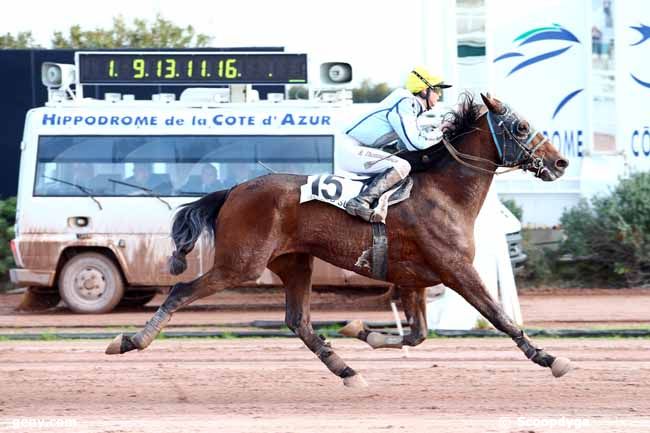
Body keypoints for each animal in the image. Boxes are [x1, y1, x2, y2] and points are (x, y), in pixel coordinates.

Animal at [105, 93, 568, 386]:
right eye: (520, 127)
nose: (561, 162)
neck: (444, 193)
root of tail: (233, 190)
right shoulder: (456, 269)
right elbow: (500, 316)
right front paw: (549, 358)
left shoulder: (413, 278)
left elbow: (417, 334)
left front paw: (361, 329)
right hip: (241, 264)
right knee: (181, 290)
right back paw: (129, 340)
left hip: (294, 262)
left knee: (299, 322)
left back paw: (347, 371)